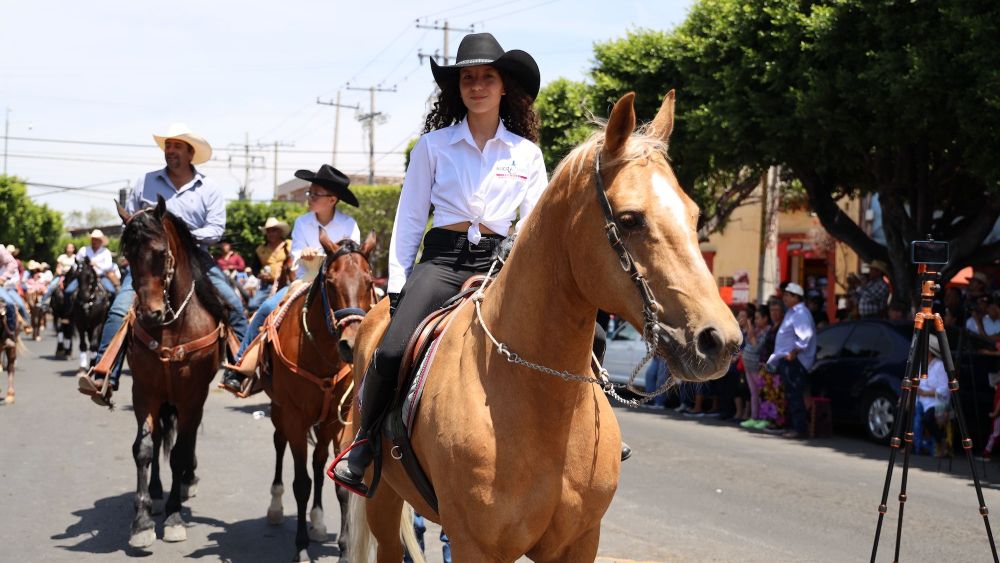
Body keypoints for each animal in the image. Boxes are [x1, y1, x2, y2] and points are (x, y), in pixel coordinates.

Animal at [115, 198, 230, 552]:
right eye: (127, 256)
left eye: (161, 253)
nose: (150, 314)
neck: (171, 326)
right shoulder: (145, 392)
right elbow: (143, 448)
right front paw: (141, 522)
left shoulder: (192, 395)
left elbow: (179, 452)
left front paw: (175, 517)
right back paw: (156, 492)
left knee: (186, 440)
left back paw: (186, 482)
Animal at [260, 229, 376, 563]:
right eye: (331, 283)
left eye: (369, 281)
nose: (351, 343)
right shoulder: (295, 417)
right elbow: (301, 483)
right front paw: (300, 547)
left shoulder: (335, 422)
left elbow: (336, 482)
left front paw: (343, 548)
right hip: (279, 410)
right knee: (279, 443)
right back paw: (276, 507)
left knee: (318, 461)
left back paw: (319, 521)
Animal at [346, 90, 744, 560]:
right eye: (630, 218)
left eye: (694, 213)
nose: (719, 341)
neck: (542, 404)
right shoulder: (474, 545)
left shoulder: (578, 543)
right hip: (383, 498)